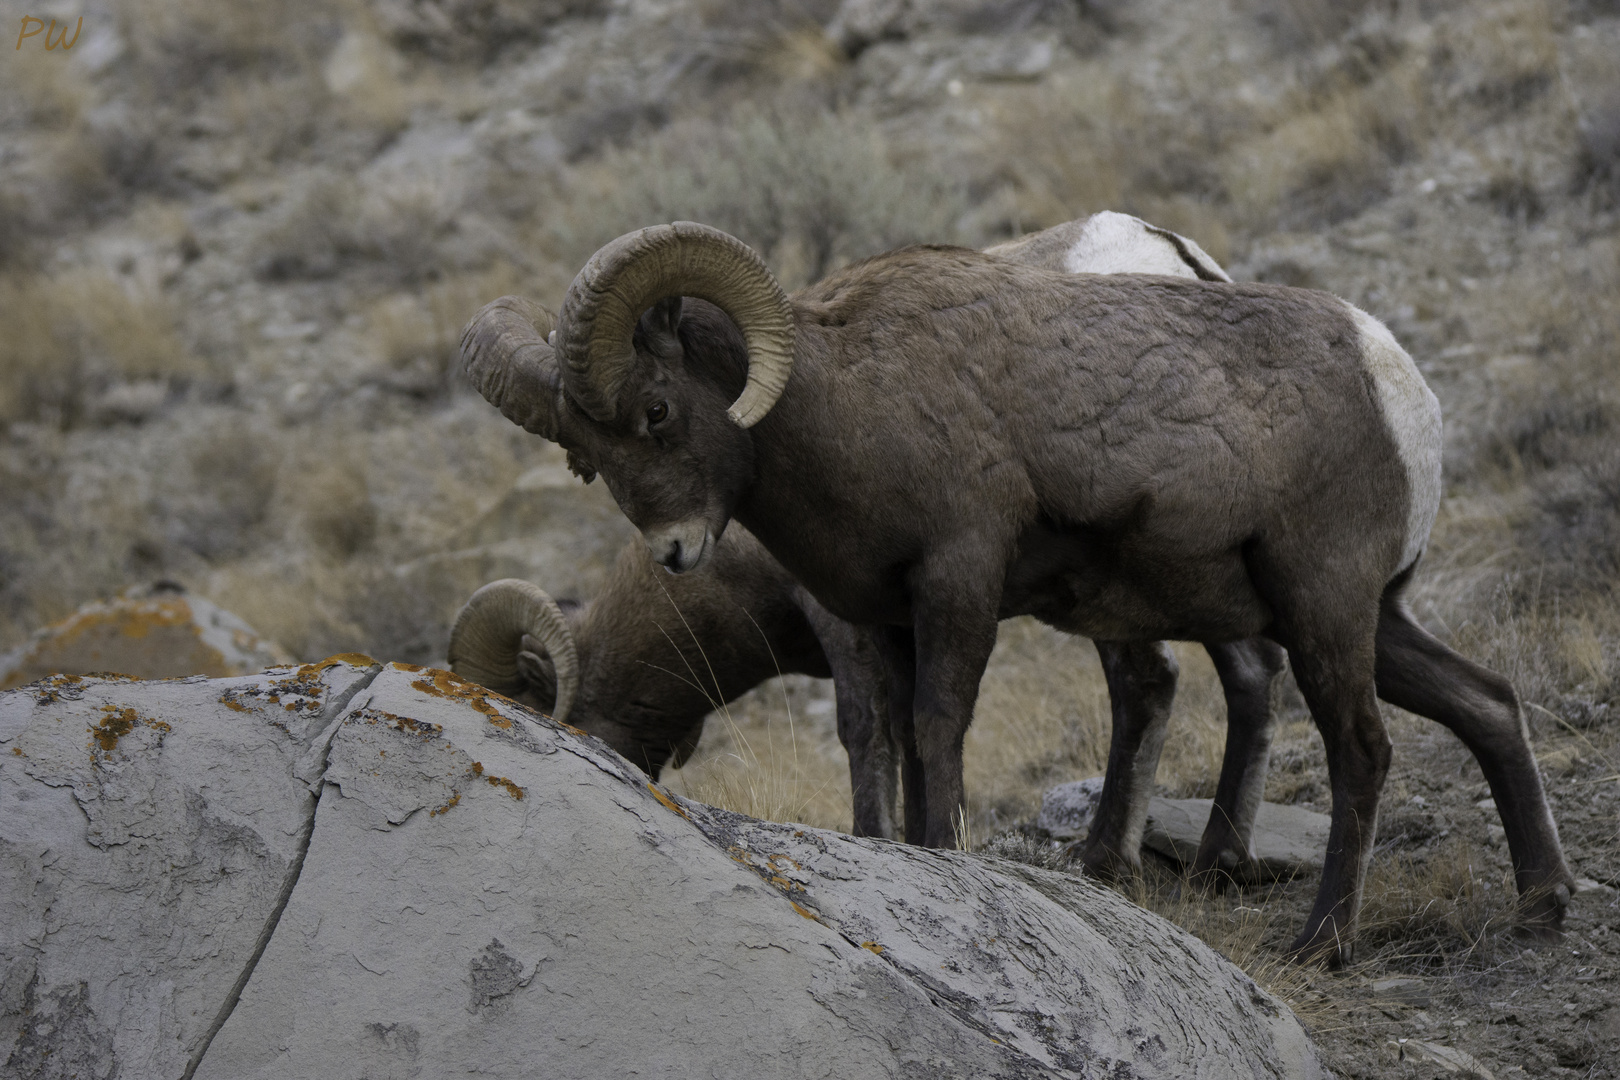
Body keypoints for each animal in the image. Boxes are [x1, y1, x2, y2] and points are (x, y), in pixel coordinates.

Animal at [463, 213, 1574, 965]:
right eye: (586, 458)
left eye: (656, 410)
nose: (677, 551)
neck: (850, 401)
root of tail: (1397, 383)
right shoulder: (888, 616)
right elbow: (905, 742)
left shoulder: (951, 585)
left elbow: (925, 730)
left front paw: (935, 858)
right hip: (1365, 619)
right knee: (1486, 704)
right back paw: (1541, 906)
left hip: (1324, 612)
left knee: (1361, 751)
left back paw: (1318, 943)